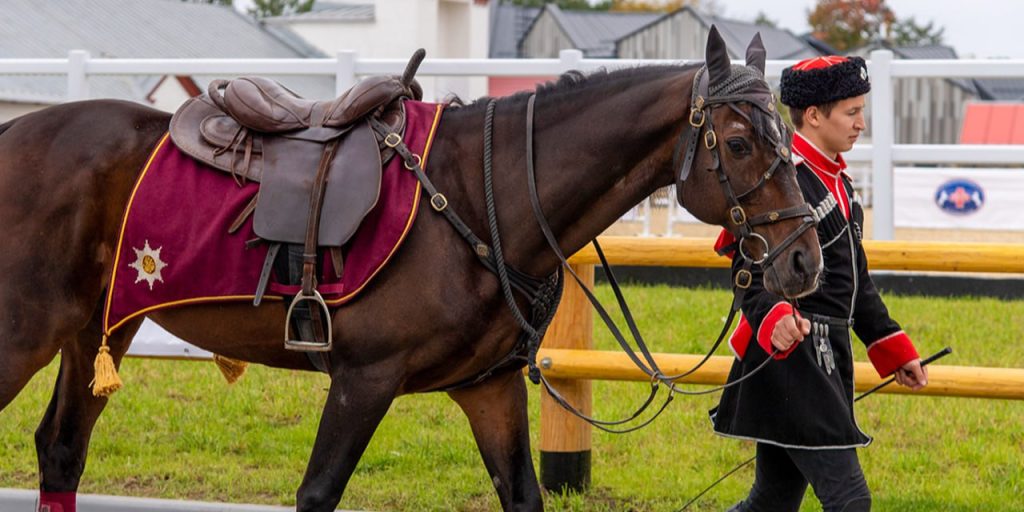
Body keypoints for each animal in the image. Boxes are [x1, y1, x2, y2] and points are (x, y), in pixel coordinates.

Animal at [0, 29, 815, 512]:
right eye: (739, 143)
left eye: (785, 137)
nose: (806, 256)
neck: (483, 195)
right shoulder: (363, 380)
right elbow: (318, 493)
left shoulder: (488, 390)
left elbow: (522, 494)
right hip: (26, 335)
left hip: (97, 330)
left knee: (62, 453)